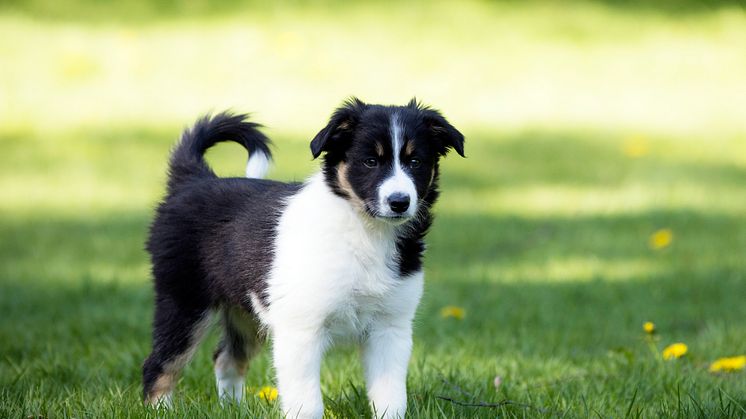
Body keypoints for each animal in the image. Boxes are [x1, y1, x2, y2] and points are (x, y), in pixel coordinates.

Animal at [142, 97, 462, 418]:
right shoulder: (301, 329)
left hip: (246, 310)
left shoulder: (390, 327)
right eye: (370, 161)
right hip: (184, 301)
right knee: (160, 364)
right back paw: (161, 410)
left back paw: (233, 408)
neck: (365, 231)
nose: (399, 202)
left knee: (226, 358)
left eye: (415, 162)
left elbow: (391, 397)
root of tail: (193, 180)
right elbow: (307, 401)